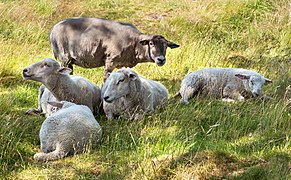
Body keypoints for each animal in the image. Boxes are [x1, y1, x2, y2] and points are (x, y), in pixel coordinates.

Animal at [49, 17, 180, 79]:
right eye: (151, 43)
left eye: (166, 46)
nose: (161, 59)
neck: (135, 43)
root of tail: (53, 30)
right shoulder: (110, 60)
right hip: (64, 57)